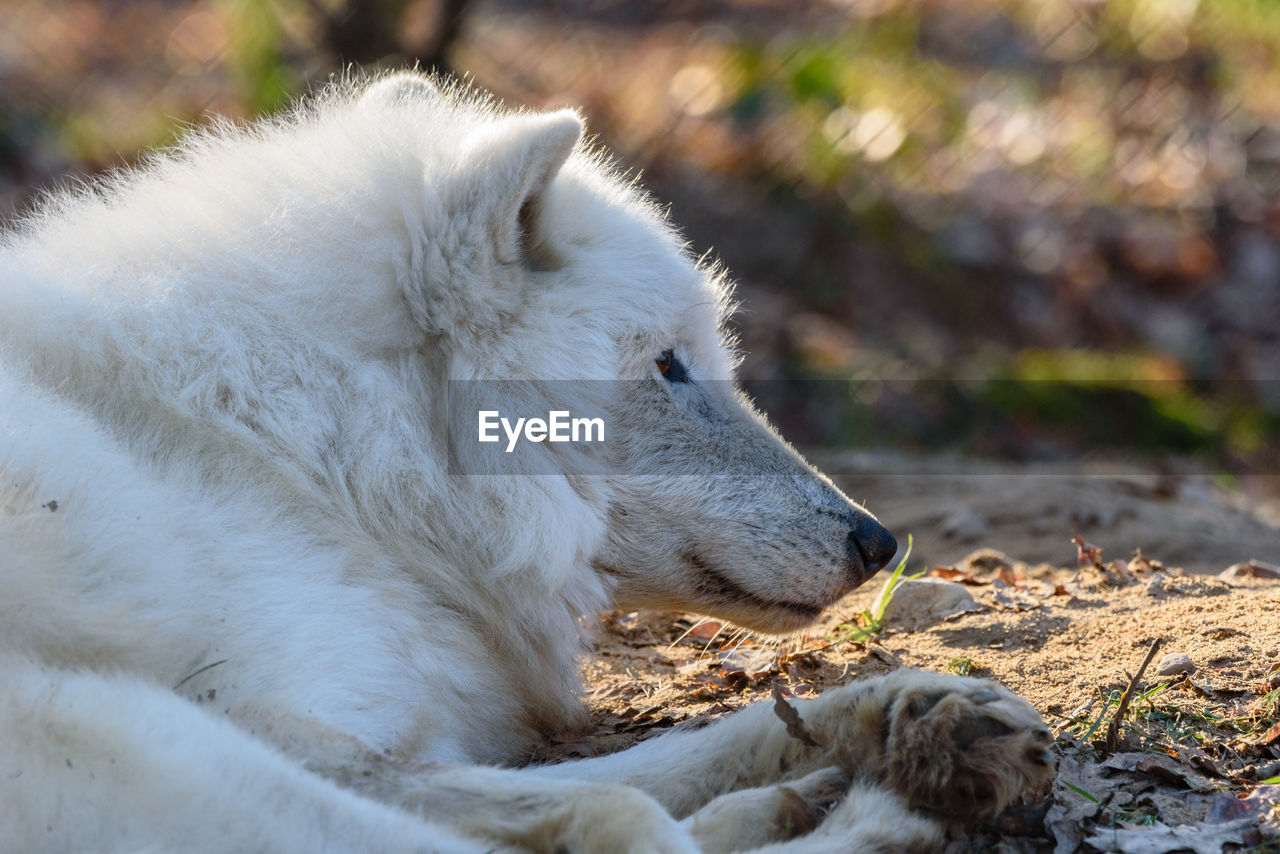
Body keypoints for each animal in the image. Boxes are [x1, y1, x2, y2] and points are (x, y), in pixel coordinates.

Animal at [0, 75, 1049, 854]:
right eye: (668, 364)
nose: (876, 542)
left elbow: (674, 754)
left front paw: (905, 715)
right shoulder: (268, 718)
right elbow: (608, 803)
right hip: (109, 728)